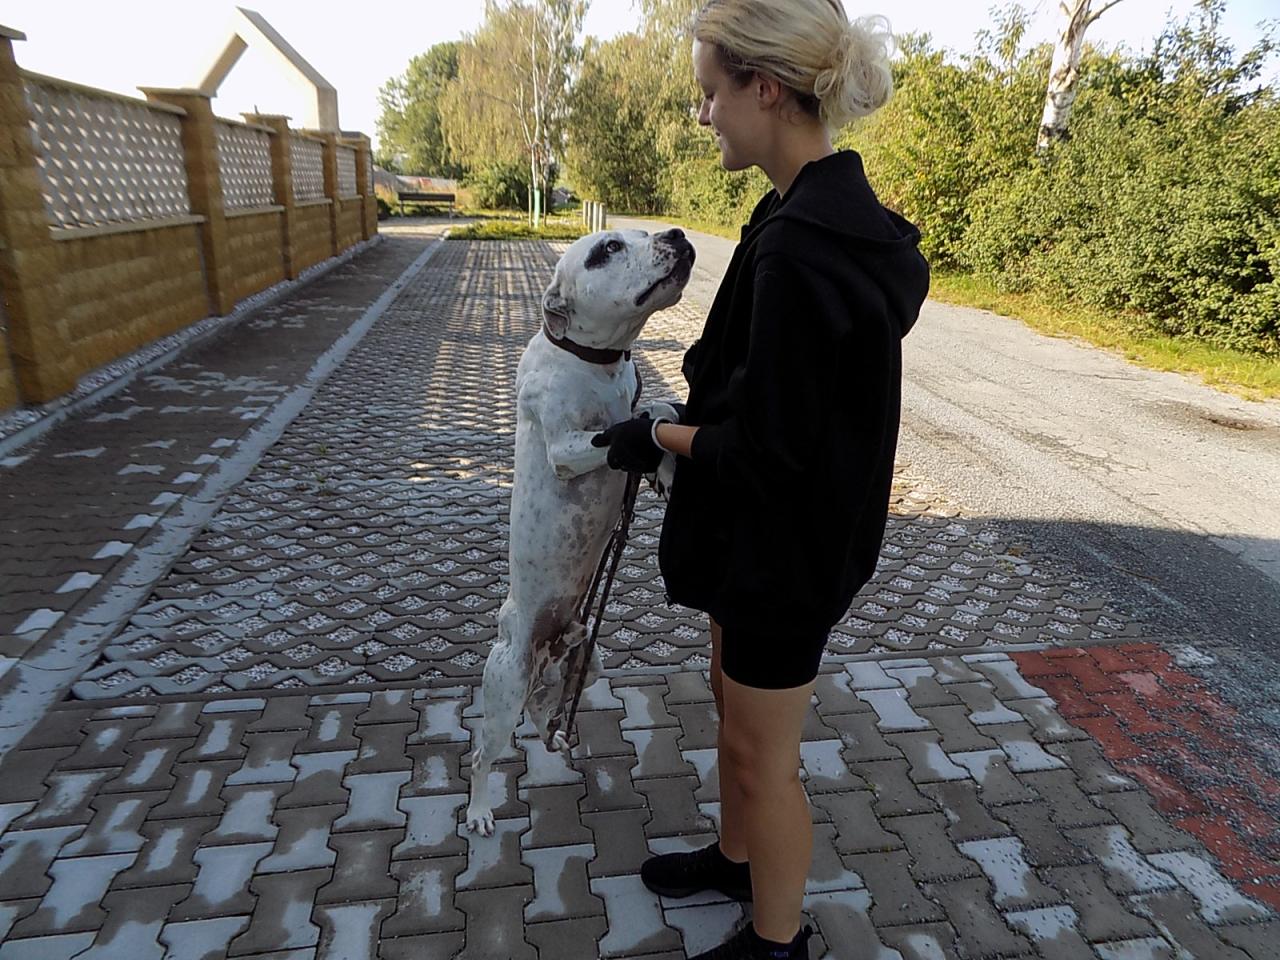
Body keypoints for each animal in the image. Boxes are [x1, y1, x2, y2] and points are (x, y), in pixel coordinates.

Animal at [465, 228, 695, 835]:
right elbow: (627, 430)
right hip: (504, 686)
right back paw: (478, 810)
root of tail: (547, 646)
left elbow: (657, 410)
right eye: (607, 249)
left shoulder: (637, 396)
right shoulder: (569, 447)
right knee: (483, 753)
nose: (676, 234)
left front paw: (664, 469)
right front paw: (646, 447)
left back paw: (559, 741)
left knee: (548, 714)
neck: (595, 362)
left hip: (586, 665)